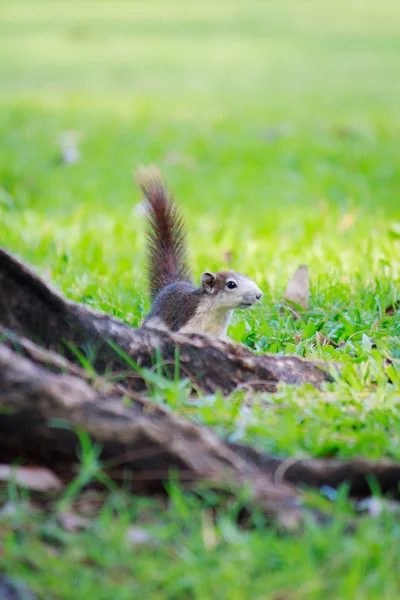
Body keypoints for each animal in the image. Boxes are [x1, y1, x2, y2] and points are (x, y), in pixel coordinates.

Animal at [136, 166, 264, 340]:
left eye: (248, 277)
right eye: (231, 284)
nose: (259, 295)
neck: (217, 314)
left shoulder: (219, 335)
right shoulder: (188, 322)